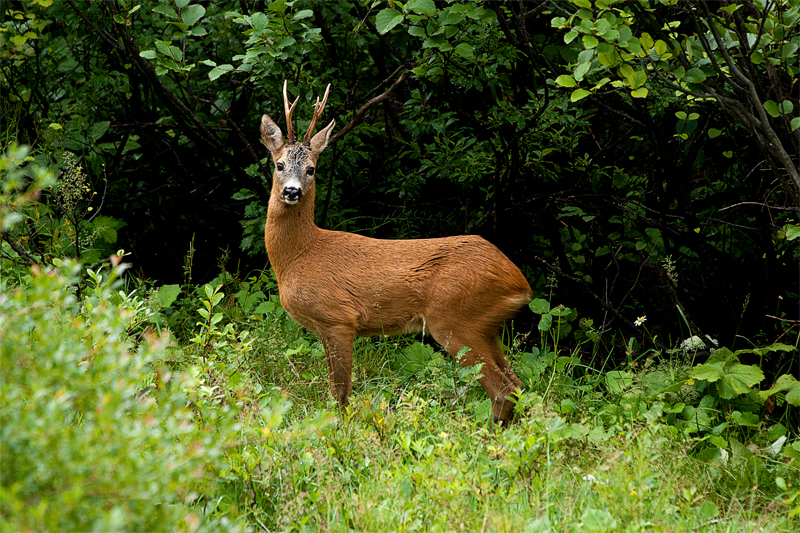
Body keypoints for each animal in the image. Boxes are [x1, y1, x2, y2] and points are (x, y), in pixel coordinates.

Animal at [260, 82, 532, 424]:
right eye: (279, 164)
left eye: (311, 169)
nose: (292, 191)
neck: (300, 255)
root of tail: (519, 281)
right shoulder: (325, 327)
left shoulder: (338, 318)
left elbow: (341, 393)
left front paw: (341, 429)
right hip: (487, 328)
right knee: (516, 383)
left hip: (456, 320)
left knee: (502, 388)